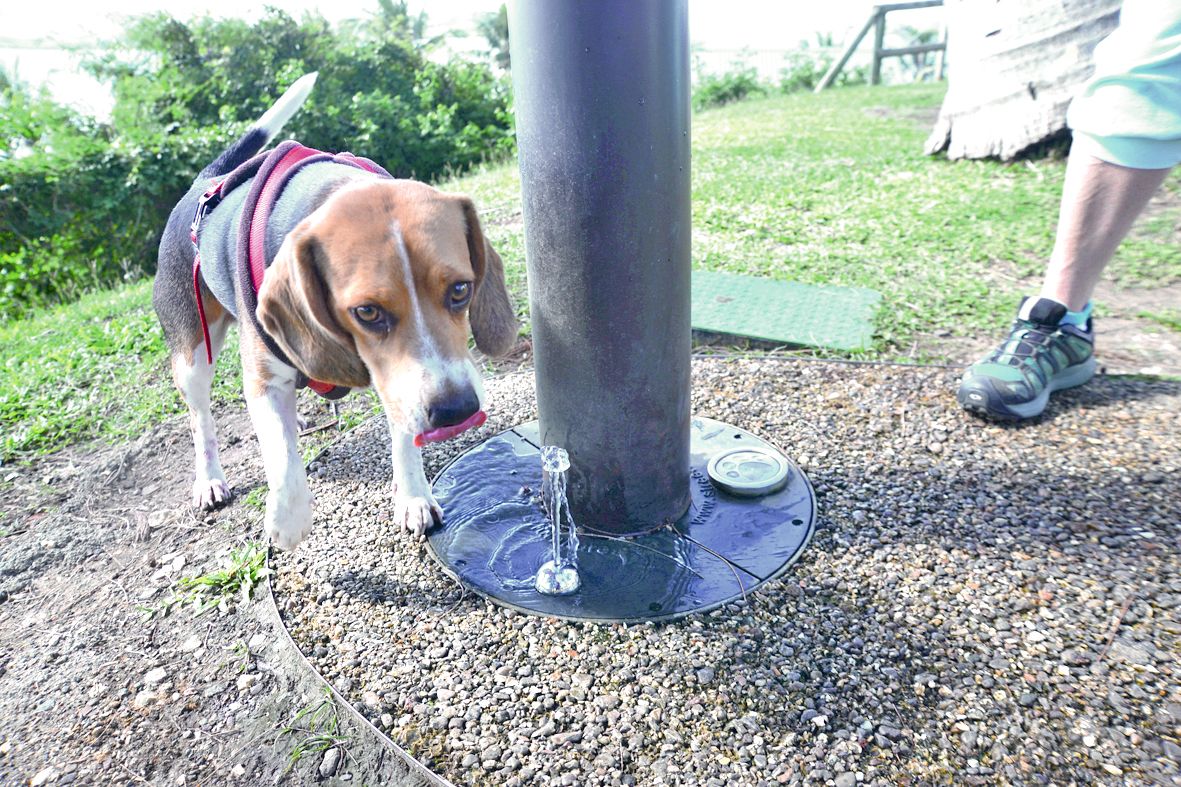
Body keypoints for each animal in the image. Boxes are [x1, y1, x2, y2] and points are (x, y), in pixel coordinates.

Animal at [152, 76, 517, 548]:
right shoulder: (265, 380)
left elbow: (403, 435)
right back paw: (210, 480)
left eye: (460, 290)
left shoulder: (396, 377)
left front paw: (413, 496)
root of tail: (204, 182)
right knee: (201, 422)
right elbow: (282, 461)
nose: (456, 411)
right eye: (366, 312)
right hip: (192, 355)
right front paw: (288, 521)